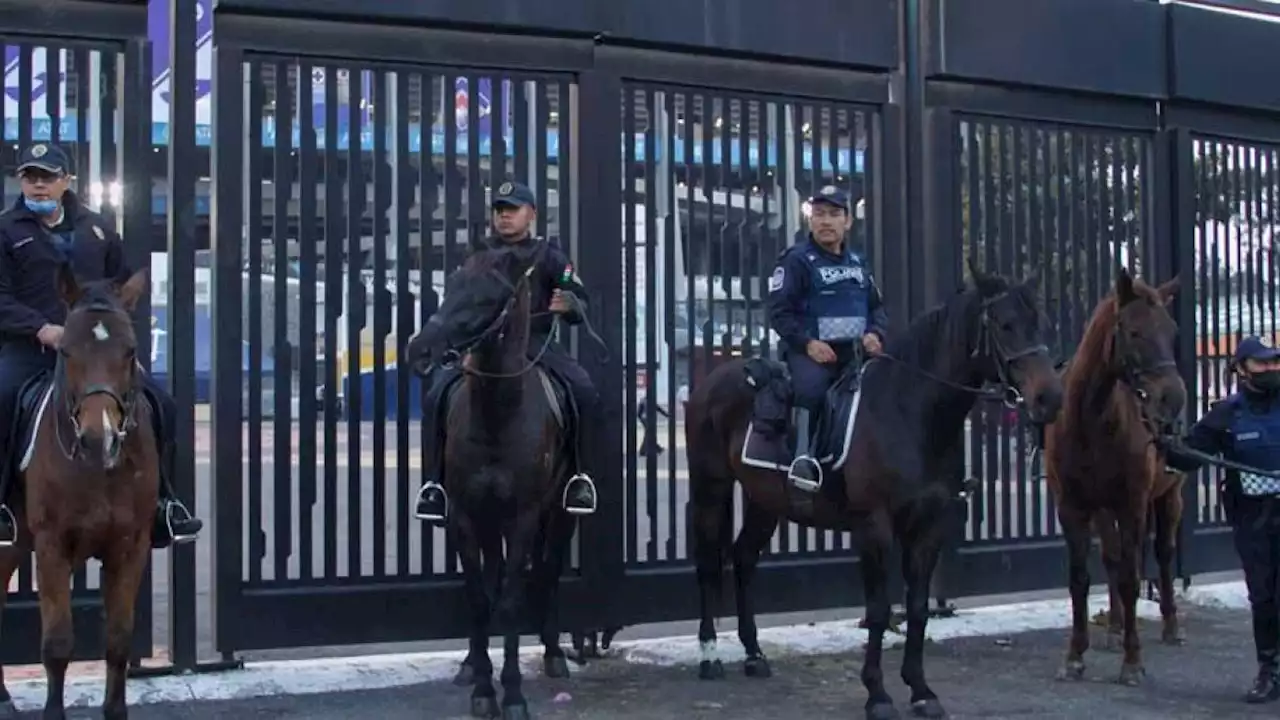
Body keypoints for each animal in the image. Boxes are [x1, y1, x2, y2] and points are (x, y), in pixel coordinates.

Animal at [0, 266, 154, 712]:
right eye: (66, 351)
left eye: (130, 351)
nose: (98, 438)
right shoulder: (52, 547)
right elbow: (57, 646)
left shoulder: (130, 546)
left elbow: (118, 642)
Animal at [686, 262, 1064, 717]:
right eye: (1005, 325)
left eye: (1041, 323)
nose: (1050, 399)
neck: (909, 411)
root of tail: (714, 379)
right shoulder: (875, 527)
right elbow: (880, 610)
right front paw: (878, 695)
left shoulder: (929, 528)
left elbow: (917, 608)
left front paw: (921, 690)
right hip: (711, 488)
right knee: (709, 565)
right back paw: (709, 656)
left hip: (765, 500)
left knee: (743, 559)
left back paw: (754, 654)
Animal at [1044, 267, 1182, 681]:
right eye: (1134, 331)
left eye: (1172, 331)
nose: (1174, 398)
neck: (1090, 422)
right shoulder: (1072, 506)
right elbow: (1081, 577)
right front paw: (1075, 655)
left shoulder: (1132, 504)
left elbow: (1131, 578)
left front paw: (1132, 661)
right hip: (1104, 510)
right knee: (1113, 556)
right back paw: (1116, 628)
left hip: (1170, 496)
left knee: (1163, 554)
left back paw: (1170, 626)